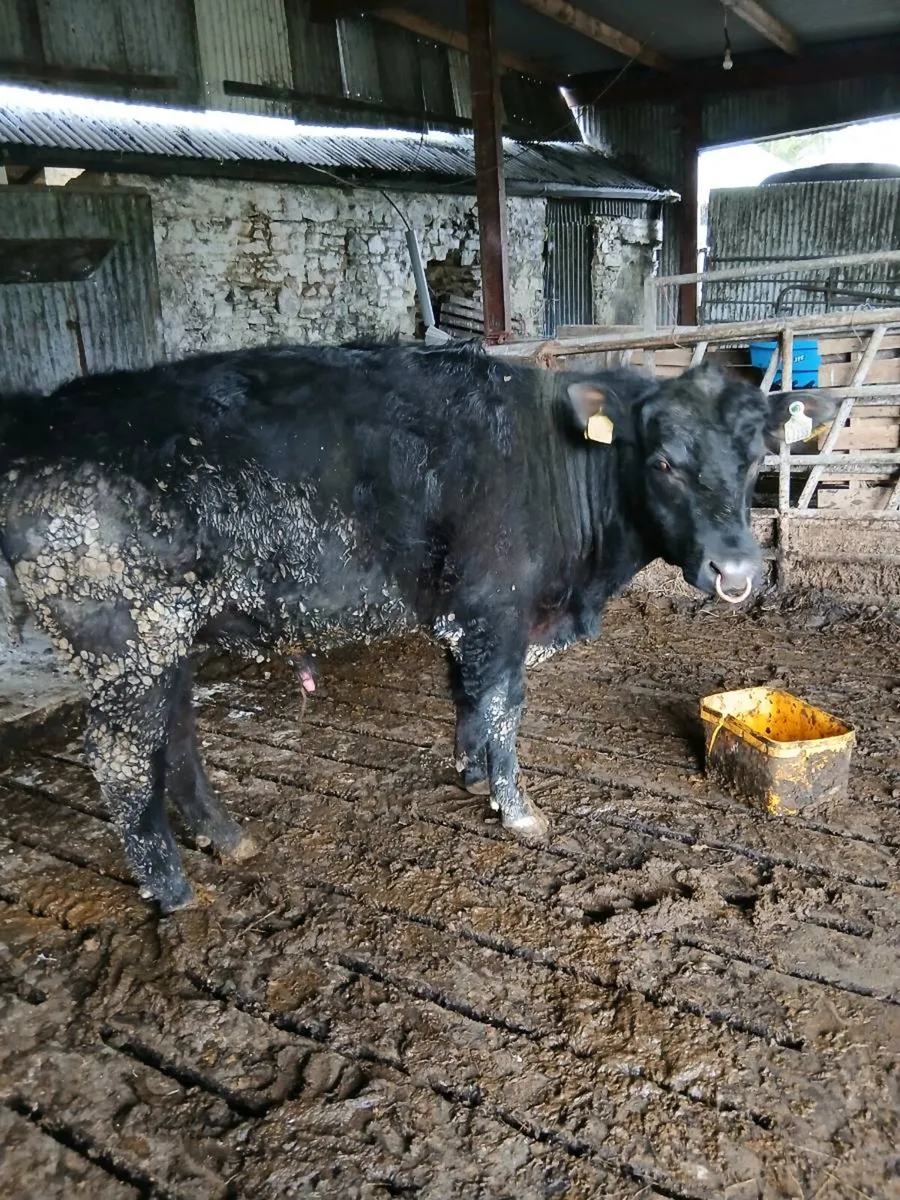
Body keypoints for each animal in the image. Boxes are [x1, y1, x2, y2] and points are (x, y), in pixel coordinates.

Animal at [0, 343, 831, 912]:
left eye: (757, 457)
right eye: (662, 463)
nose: (736, 569)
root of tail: (39, 419)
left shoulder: (462, 614)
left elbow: (465, 699)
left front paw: (471, 775)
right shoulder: (496, 610)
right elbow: (502, 706)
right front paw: (517, 809)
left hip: (162, 643)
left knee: (172, 737)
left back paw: (227, 840)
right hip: (124, 643)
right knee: (119, 759)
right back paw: (173, 890)